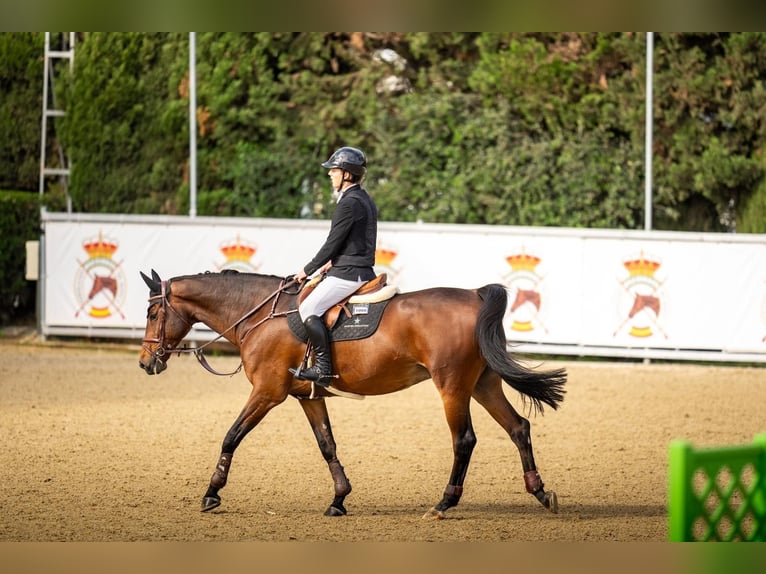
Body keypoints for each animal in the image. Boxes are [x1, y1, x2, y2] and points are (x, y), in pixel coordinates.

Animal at [138, 269, 566, 519]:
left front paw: (211, 493)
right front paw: (339, 499)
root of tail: (474, 294)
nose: (145, 363)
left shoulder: (268, 392)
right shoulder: (309, 397)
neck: (260, 316)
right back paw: (541, 492)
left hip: (453, 386)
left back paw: (445, 503)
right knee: (518, 427)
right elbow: (327, 445)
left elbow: (231, 436)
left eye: (152, 313)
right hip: (483, 384)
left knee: (464, 440)